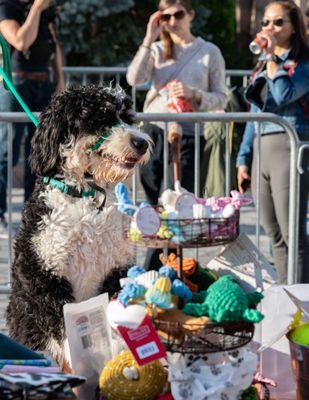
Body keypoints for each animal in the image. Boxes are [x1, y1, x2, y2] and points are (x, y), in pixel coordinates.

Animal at [6, 84, 150, 366]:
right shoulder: (45, 276)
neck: (86, 196)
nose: (142, 143)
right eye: (101, 117)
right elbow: (64, 333)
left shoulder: (116, 270)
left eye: (127, 117)